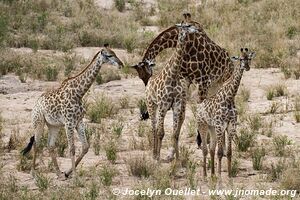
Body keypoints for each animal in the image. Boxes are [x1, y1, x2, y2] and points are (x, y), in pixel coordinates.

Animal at [21, 44, 123, 179]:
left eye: (115, 53)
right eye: (109, 55)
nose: (121, 64)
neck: (79, 93)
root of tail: (35, 104)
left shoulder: (79, 121)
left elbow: (85, 147)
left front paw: (67, 173)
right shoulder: (69, 123)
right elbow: (72, 149)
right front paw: (75, 176)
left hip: (54, 125)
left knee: (50, 145)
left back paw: (58, 173)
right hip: (38, 122)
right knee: (37, 143)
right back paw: (33, 173)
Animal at [140, 23, 200, 161]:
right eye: (186, 26)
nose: (196, 30)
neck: (173, 76)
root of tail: (149, 82)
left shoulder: (176, 105)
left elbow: (175, 134)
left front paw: (177, 159)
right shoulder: (163, 105)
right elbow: (161, 132)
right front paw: (158, 157)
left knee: (157, 127)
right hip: (151, 104)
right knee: (154, 128)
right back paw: (154, 154)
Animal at [197, 48, 255, 177]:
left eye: (249, 58)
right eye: (240, 59)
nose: (247, 67)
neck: (229, 98)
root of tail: (198, 107)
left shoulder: (231, 126)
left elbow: (228, 152)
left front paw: (228, 175)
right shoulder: (220, 125)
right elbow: (220, 152)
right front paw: (220, 175)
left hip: (211, 127)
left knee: (211, 149)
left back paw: (212, 174)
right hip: (202, 125)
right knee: (205, 149)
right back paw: (205, 175)